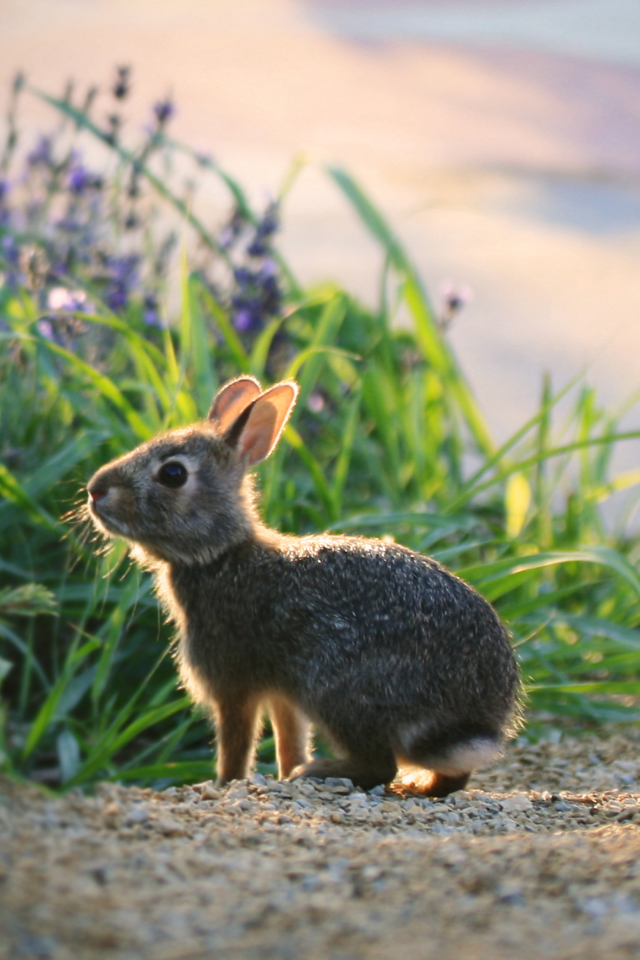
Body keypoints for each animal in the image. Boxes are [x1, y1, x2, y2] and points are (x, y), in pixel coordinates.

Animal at [86, 376, 520, 796]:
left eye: (173, 474)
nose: (95, 489)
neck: (220, 554)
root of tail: (474, 717)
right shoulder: (282, 694)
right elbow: (289, 737)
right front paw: (281, 772)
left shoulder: (232, 682)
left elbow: (236, 742)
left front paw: (225, 784)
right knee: (451, 777)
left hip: (338, 687)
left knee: (381, 765)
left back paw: (322, 772)